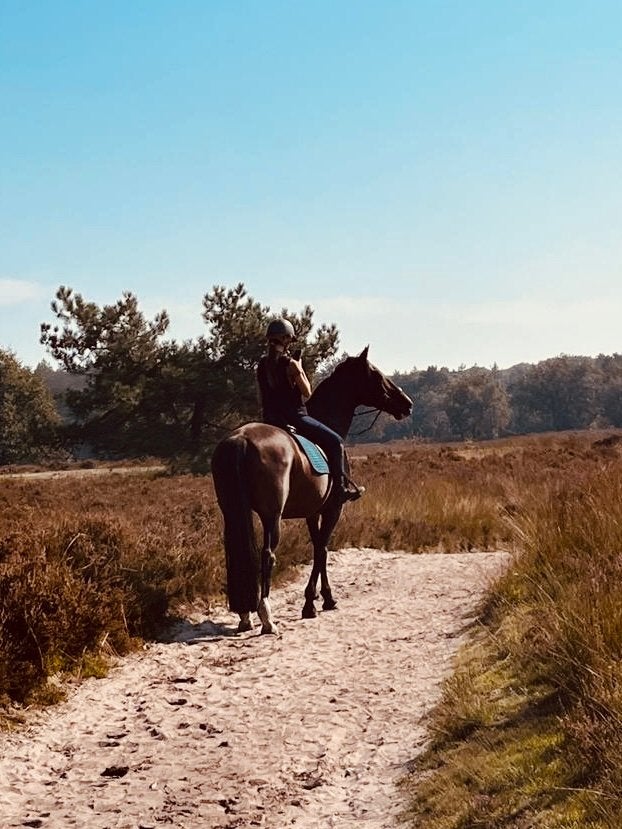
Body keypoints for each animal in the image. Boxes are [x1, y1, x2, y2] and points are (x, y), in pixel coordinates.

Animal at [211, 346, 413, 634]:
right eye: (376, 374)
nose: (407, 403)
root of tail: (240, 439)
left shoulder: (312, 512)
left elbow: (319, 547)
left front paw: (321, 597)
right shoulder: (333, 509)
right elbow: (321, 549)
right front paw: (314, 603)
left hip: (233, 511)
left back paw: (245, 616)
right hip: (272, 516)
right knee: (268, 555)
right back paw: (266, 616)